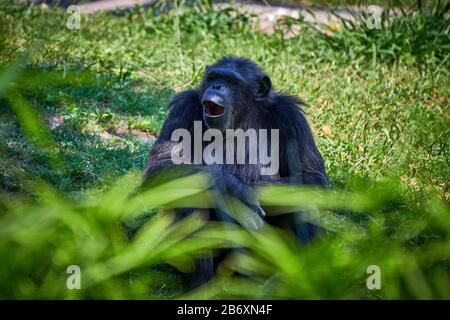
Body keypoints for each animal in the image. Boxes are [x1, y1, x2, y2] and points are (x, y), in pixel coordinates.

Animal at [144, 57, 326, 288]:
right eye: (214, 77)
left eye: (231, 81)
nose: (216, 86)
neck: (241, 118)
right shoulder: (183, 108)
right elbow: (160, 166)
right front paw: (234, 188)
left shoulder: (291, 117)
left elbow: (312, 175)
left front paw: (241, 190)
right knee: (191, 198)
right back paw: (202, 286)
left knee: (301, 198)